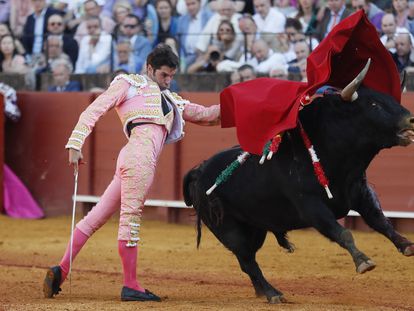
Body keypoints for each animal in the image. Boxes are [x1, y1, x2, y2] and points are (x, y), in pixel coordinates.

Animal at [183, 61, 414, 304]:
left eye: (393, 99)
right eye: (374, 104)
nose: (410, 119)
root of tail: (199, 170)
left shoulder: (360, 193)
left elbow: (380, 221)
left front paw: (406, 245)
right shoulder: (311, 208)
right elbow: (342, 233)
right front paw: (363, 261)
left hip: (255, 227)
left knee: (249, 259)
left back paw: (262, 291)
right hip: (228, 229)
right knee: (246, 260)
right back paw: (273, 293)